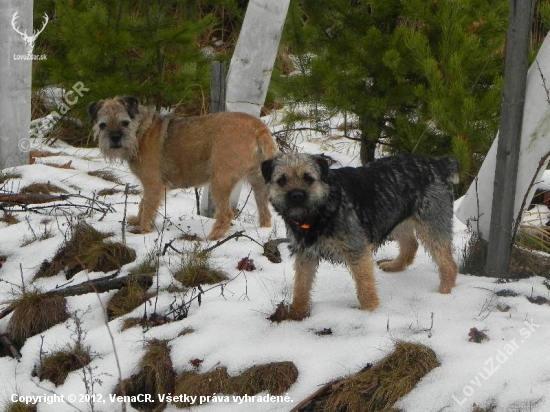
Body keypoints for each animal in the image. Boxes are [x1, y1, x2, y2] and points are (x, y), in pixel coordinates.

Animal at [91, 96, 280, 240]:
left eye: (125, 122)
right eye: (102, 125)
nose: (115, 137)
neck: (141, 132)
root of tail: (258, 127)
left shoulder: (153, 185)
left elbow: (148, 207)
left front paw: (143, 231)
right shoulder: (150, 187)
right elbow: (143, 204)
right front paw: (137, 220)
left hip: (219, 181)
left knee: (226, 215)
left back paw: (212, 238)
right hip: (258, 182)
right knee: (265, 213)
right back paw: (263, 229)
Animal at [264, 153, 462, 320]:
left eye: (308, 178)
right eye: (282, 180)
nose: (296, 195)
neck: (321, 211)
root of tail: (438, 163)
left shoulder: (356, 249)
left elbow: (364, 283)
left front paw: (370, 311)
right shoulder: (305, 254)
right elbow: (301, 285)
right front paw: (296, 313)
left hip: (432, 225)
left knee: (448, 264)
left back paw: (443, 292)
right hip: (394, 216)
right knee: (411, 244)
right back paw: (395, 265)